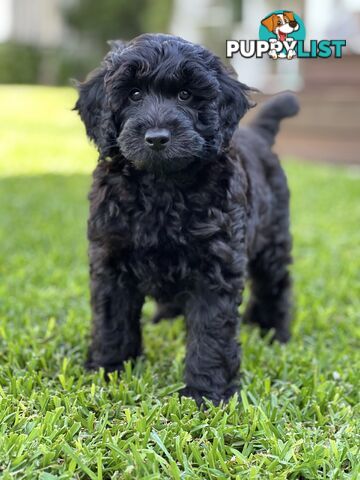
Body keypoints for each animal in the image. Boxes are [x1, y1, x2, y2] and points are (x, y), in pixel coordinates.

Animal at [74, 33, 300, 404]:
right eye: (133, 94)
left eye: (185, 95)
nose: (157, 138)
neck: (162, 187)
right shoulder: (111, 256)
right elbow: (111, 318)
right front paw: (108, 370)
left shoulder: (216, 264)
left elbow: (211, 330)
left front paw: (206, 392)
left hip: (273, 237)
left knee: (275, 283)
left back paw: (272, 332)